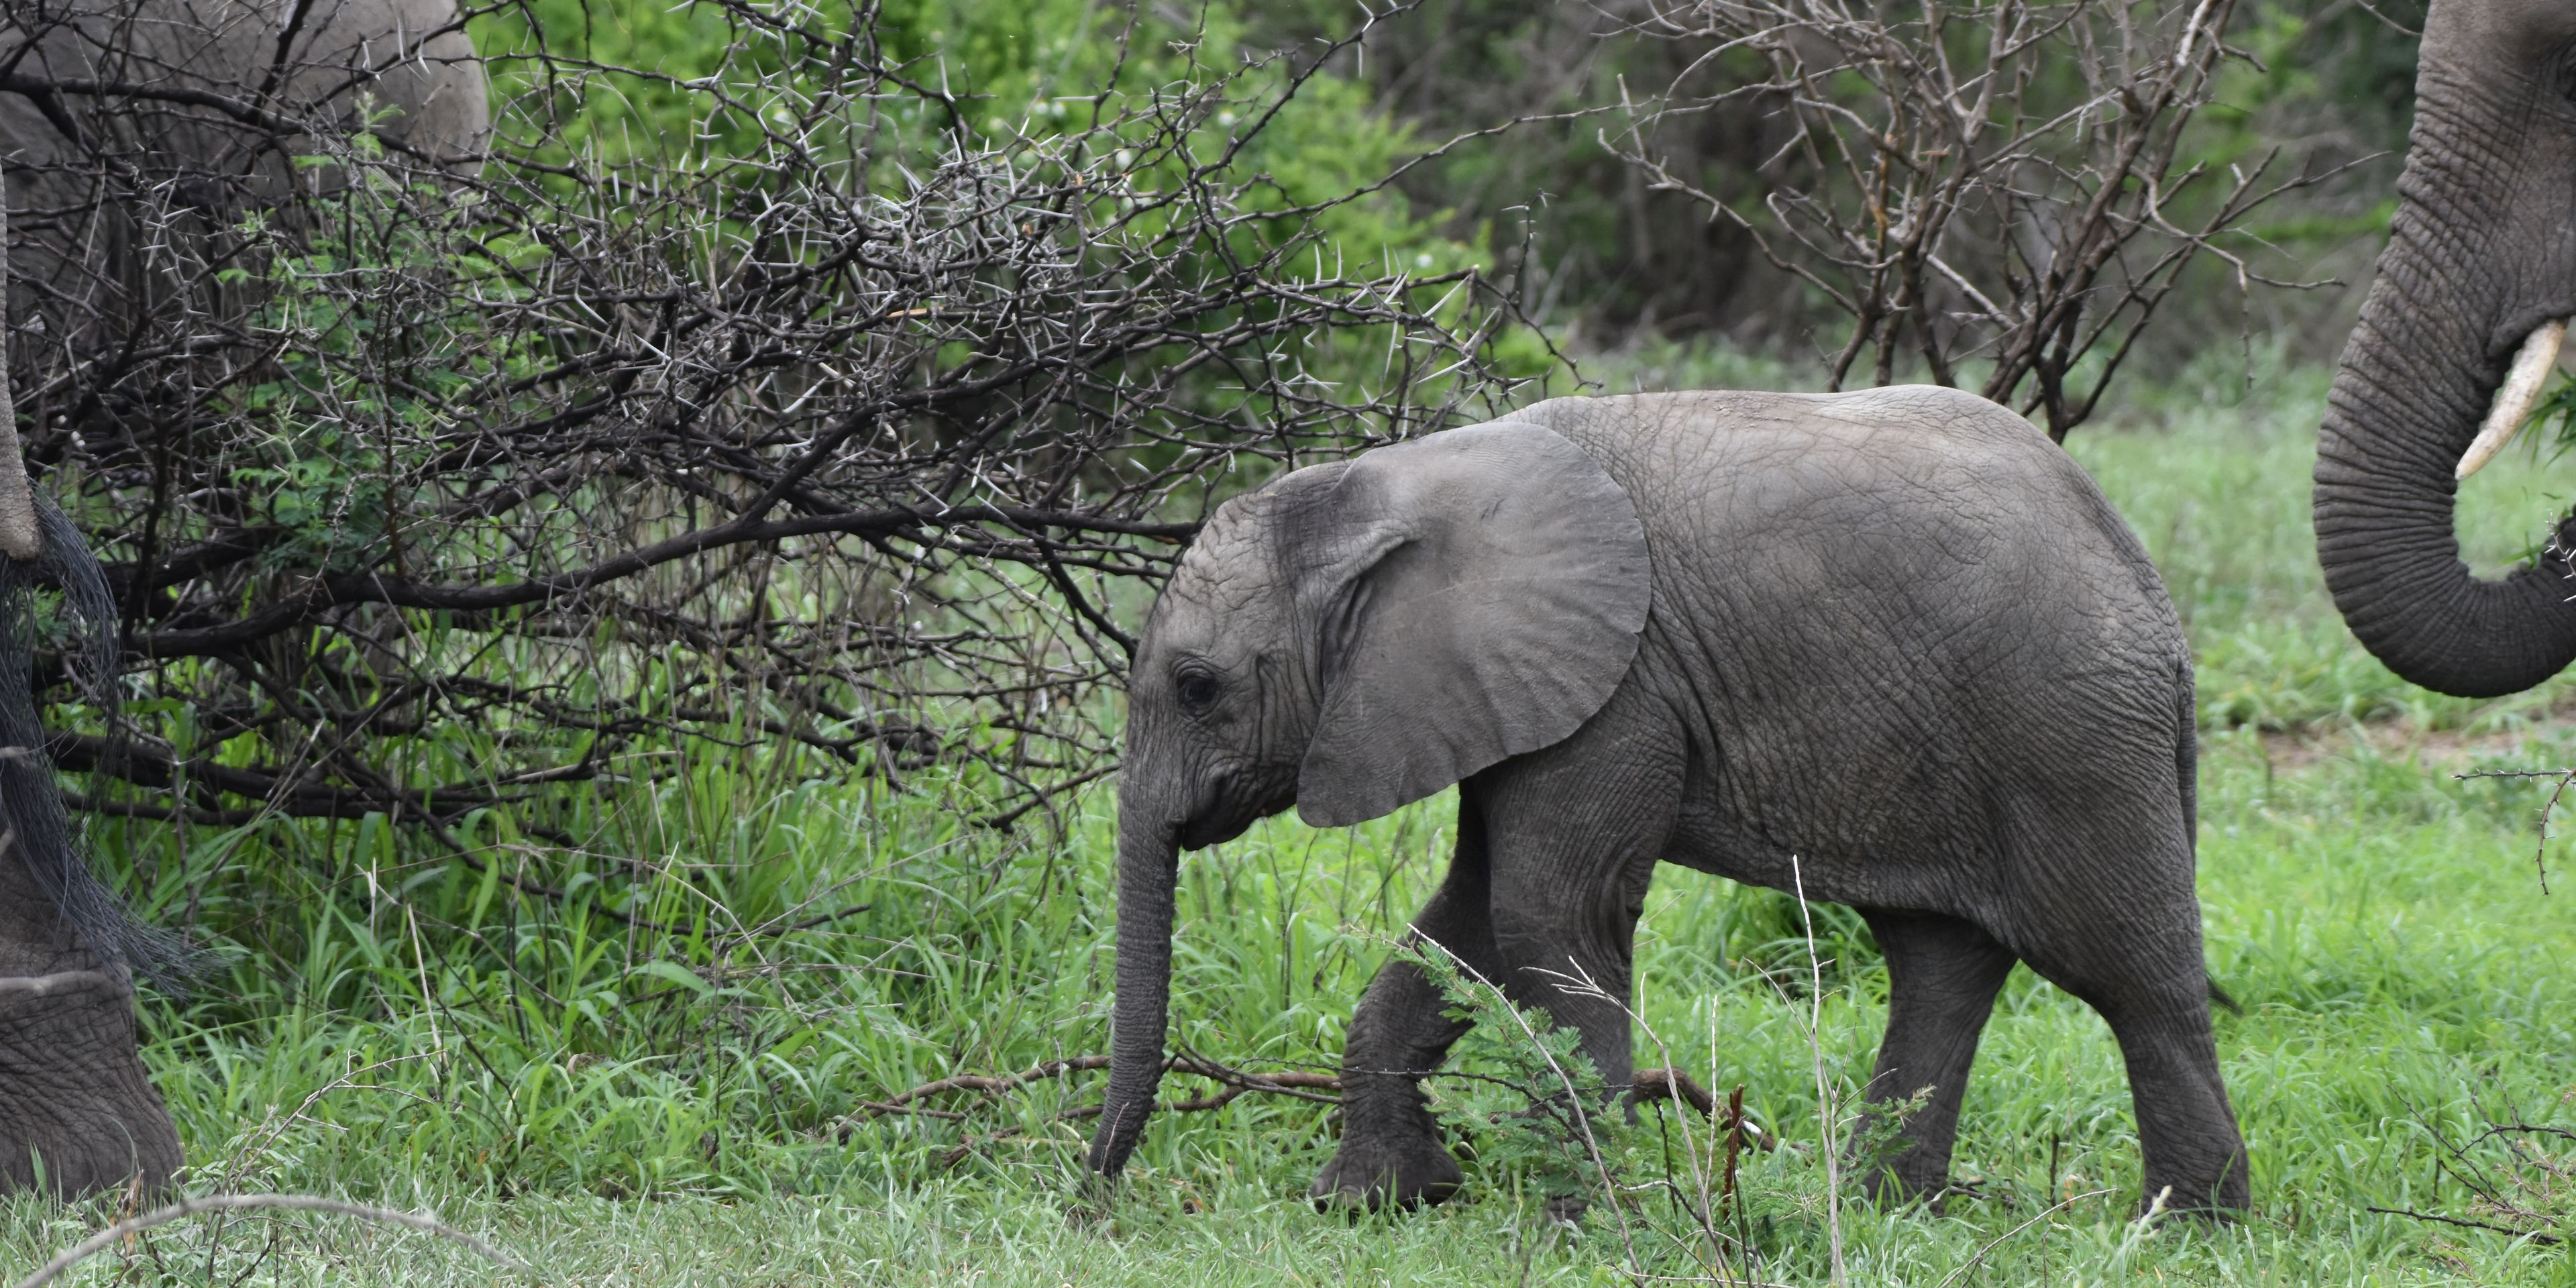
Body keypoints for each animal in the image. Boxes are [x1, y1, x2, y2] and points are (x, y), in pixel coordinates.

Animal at [1083, 388, 2251, 1216]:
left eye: (1198, 687)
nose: (1091, 1195)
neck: (1385, 488)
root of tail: (2146, 584)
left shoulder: (1618, 688)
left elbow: (1546, 920)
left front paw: (1589, 1217)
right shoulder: (1509, 691)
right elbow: (1464, 929)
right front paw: (1375, 1203)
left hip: (2067, 733)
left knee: (2132, 977)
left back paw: (2189, 1224)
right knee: (1941, 963)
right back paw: (1884, 1210)